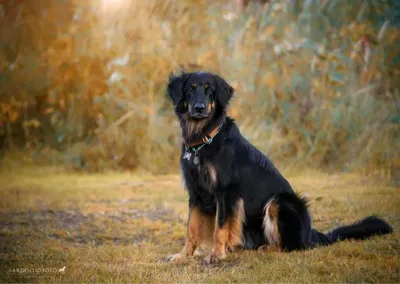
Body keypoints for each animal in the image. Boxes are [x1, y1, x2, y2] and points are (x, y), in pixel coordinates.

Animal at [166, 71, 394, 264]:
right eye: (190, 89)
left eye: (210, 90)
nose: (199, 108)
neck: (204, 139)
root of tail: (310, 233)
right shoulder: (196, 192)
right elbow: (191, 228)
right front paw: (183, 255)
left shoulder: (225, 192)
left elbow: (219, 227)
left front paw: (215, 255)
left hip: (281, 202)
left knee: (290, 246)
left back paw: (266, 249)